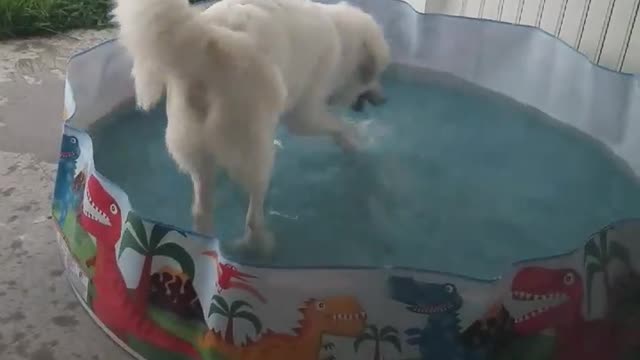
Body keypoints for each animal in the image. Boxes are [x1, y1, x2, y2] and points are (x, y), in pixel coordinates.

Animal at [112, 0, 390, 255]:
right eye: (376, 74)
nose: (384, 100)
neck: (341, 39)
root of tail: (206, 40)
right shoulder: (305, 114)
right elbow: (338, 126)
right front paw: (356, 139)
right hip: (256, 151)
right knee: (253, 215)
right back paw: (260, 243)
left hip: (196, 149)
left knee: (201, 210)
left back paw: (206, 246)